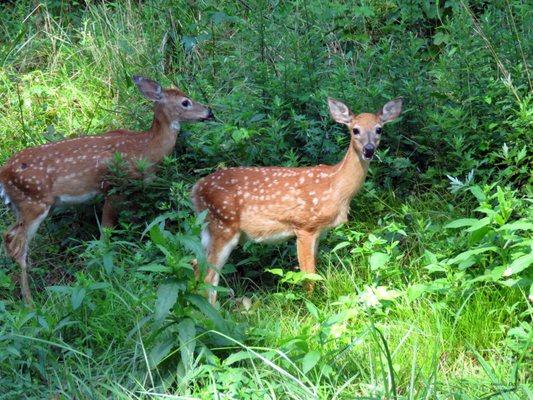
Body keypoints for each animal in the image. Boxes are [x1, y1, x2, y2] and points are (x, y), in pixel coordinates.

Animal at [2, 76, 214, 304]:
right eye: (185, 102)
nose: (209, 111)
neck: (146, 149)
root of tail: (3, 173)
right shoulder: (112, 186)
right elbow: (105, 230)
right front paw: (102, 269)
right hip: (34, 202)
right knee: (18, 246)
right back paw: (29, 302)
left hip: (22, 206)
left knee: (8, 236)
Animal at [189, 97, 402, 304]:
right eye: (355, 129)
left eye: (379, 129)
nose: (369, 149)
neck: (335, 186)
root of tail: (195, 189)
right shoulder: (304, 225)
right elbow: (309, 276)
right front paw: (311, 304)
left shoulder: (319, 231)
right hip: (223, 224)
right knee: (209, 276)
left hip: (208, 230)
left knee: (197, 267)